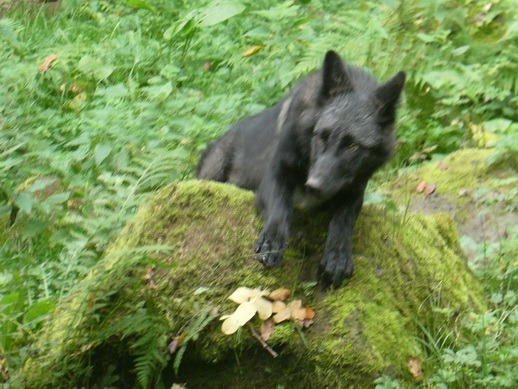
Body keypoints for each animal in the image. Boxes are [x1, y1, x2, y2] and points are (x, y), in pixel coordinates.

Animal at [199, 50, 406, 288]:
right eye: (322, 136)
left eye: (352, 146)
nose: (313, 186)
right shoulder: (275, 175)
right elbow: (281, 206)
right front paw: (272, 243)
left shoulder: (354, 189)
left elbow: (345, 219)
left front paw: (337, 256)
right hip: (215, 166)